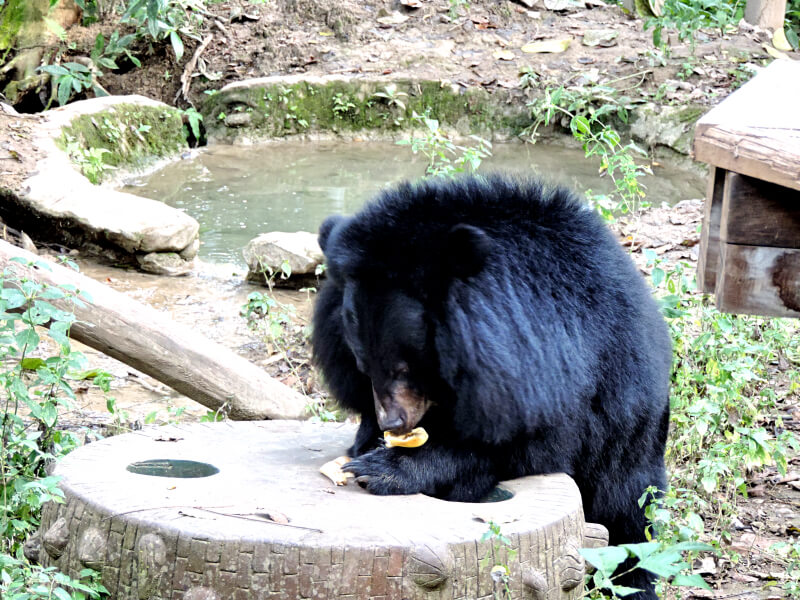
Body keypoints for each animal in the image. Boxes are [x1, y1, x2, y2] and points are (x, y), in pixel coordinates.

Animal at [311, 174, 672, 598]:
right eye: (362, 364)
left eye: (405, 368)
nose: (393, 423)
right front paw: (367, 442)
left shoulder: (556, 378)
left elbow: (522, 443)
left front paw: (386, 467)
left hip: (630, 434)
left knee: (629, 513)